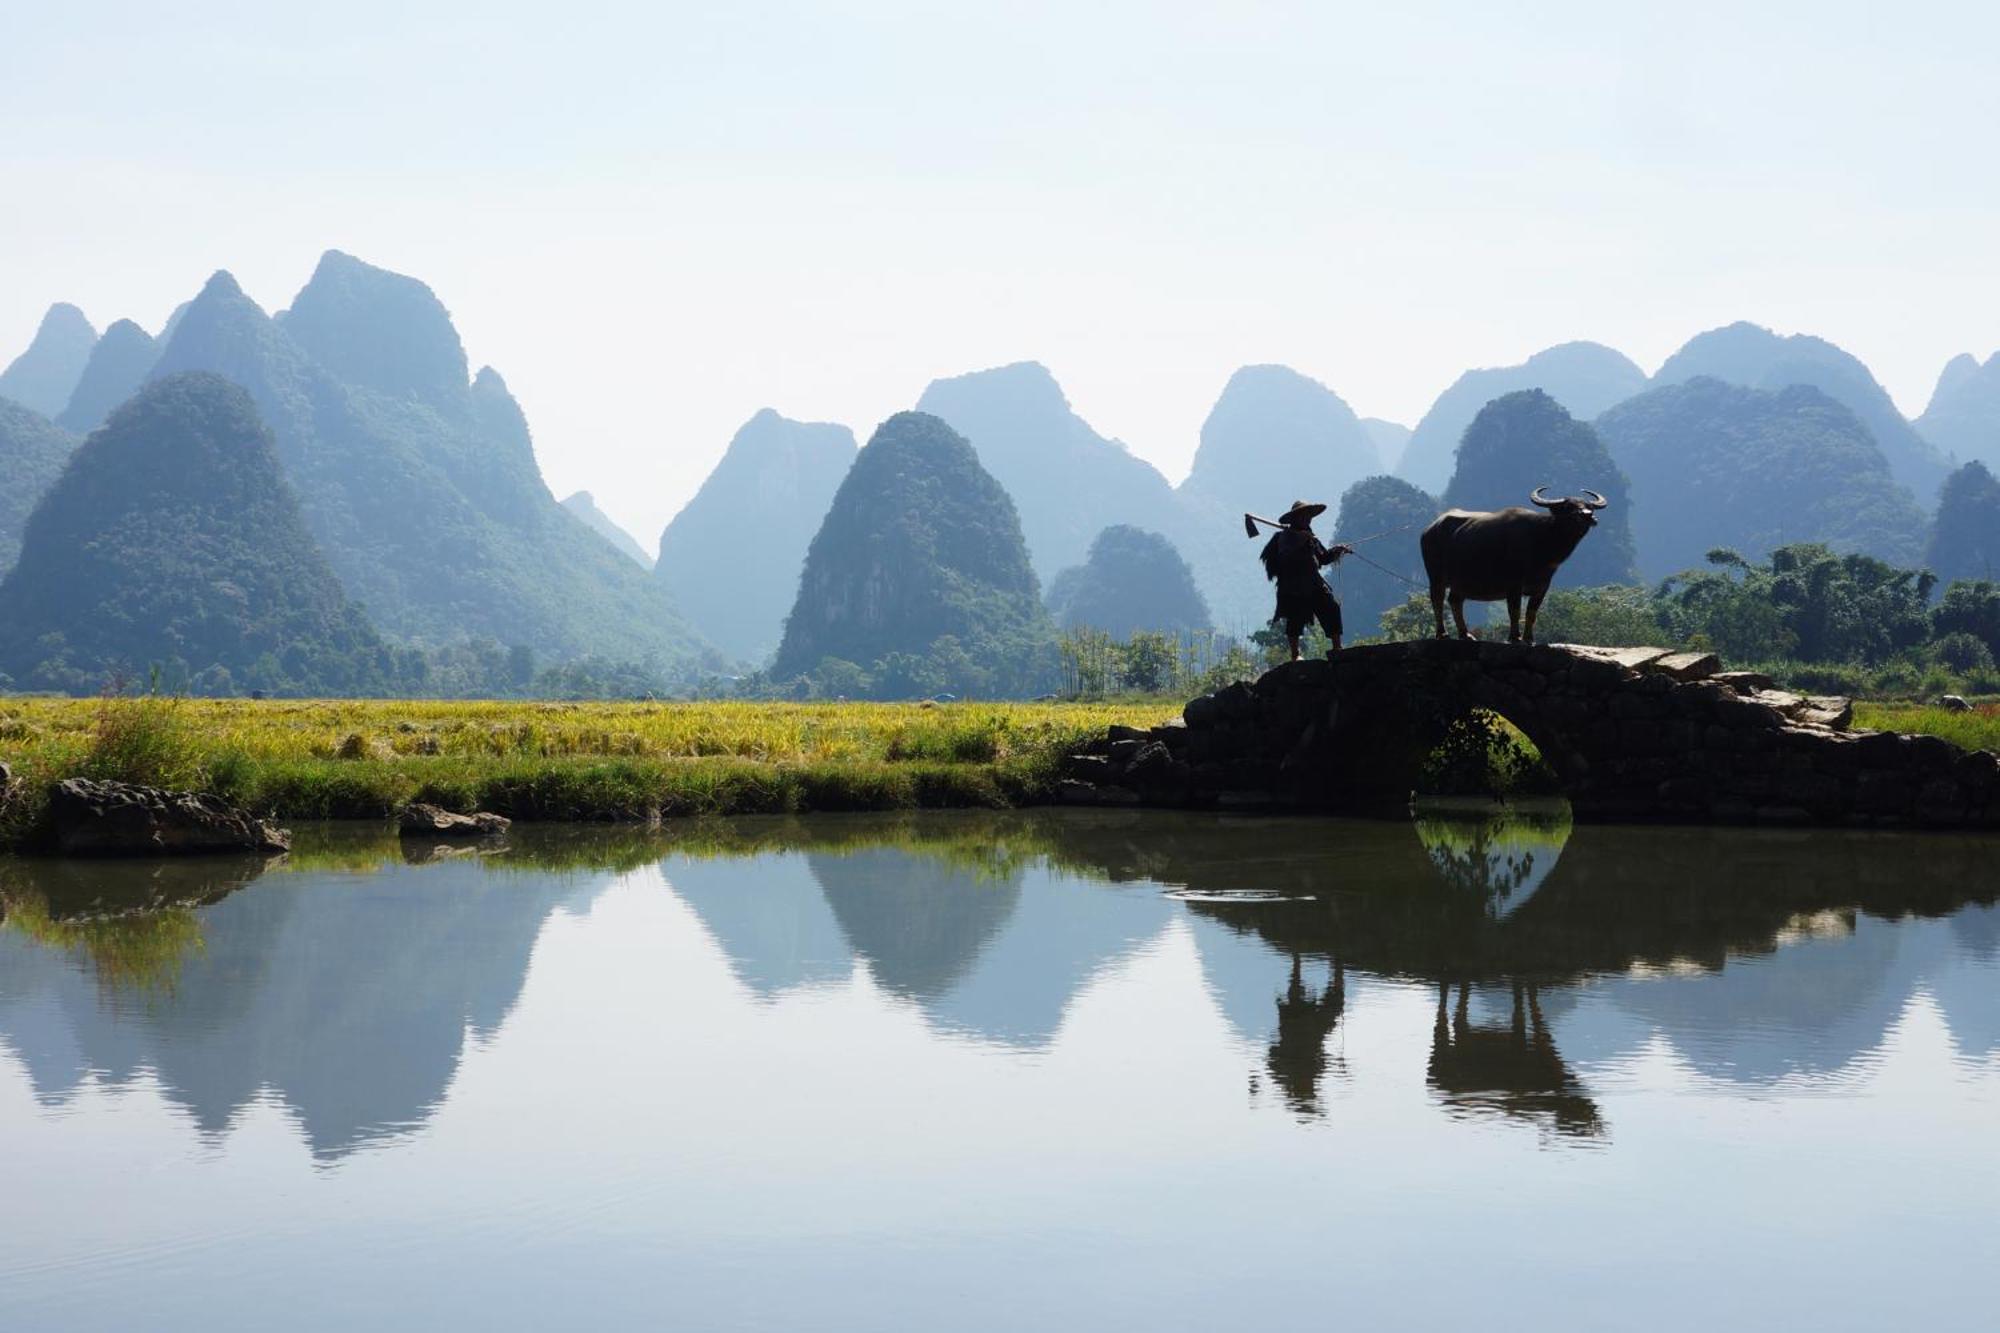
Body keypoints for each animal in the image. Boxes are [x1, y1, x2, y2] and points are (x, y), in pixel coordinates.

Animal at [1424, 486, 1608, 640]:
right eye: (1569, 506)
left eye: (1589, 506)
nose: (1587, 515)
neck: (1541, 540)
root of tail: (1430, 529)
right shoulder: (1513, 584)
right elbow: (1515, 611)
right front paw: (1514, 637)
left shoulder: (1542, 587)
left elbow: (1531, 613)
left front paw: (1529, 639)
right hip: (1436, 577)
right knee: (1437, 600)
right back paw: (1442, 633)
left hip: (1460, 582)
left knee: (1455, 601)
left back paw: (1465, 634)